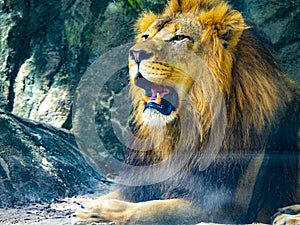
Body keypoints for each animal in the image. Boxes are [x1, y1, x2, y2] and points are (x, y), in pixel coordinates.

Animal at [73, 0, 300, 224]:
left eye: (179, 37)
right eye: (146, 36)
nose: (135, 53)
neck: (178, 132)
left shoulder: (223, 207)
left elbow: (155, 209)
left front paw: (102, 213)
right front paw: (89, 207)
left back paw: (287, 216)